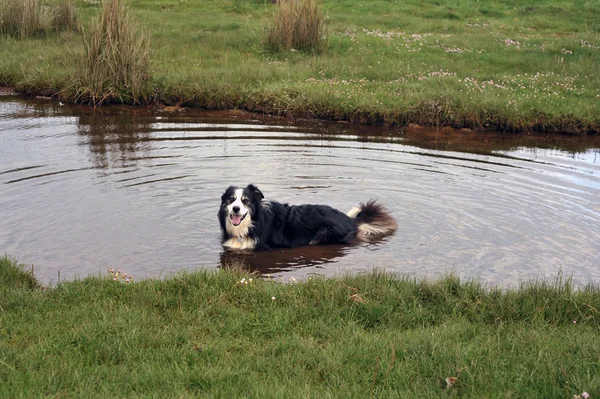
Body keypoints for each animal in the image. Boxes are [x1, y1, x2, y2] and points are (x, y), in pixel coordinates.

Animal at [218, 184, 396, 250]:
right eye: (231, 199)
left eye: (245, 201)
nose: (235, 209)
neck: (253, 222)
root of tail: (349, 220)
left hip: (324, 233)